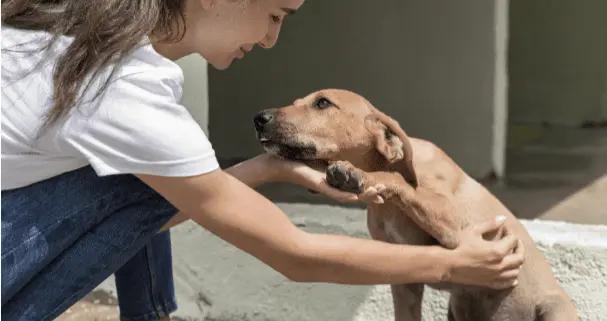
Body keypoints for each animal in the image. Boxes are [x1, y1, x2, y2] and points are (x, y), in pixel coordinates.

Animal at [253, 88, 580, 320]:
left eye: (322, 103)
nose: (259, 118)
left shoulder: (457, 226)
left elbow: (398, 181)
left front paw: (357, 175)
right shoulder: (404, 279)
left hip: (554, 308)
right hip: (458, 307)